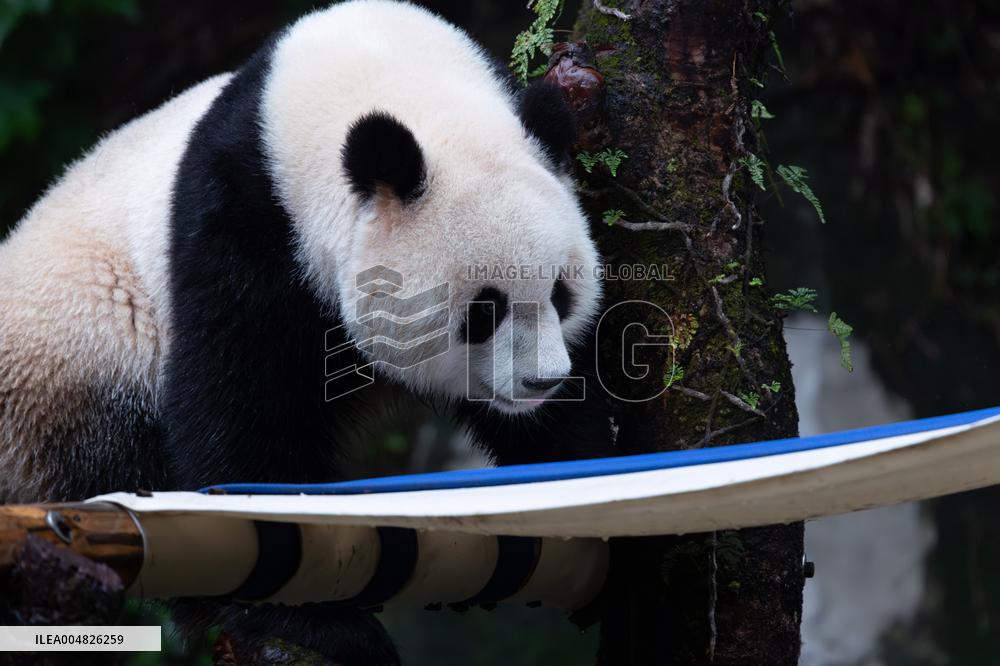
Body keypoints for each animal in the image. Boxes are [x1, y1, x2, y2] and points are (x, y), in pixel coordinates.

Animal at [0, 0, 615, 661]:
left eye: (560, 293)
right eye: (483, 311)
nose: (541, 382)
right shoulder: (244, 223)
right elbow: (241, 402)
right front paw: (313, 618)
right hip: (80, 357)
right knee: (121, 467)